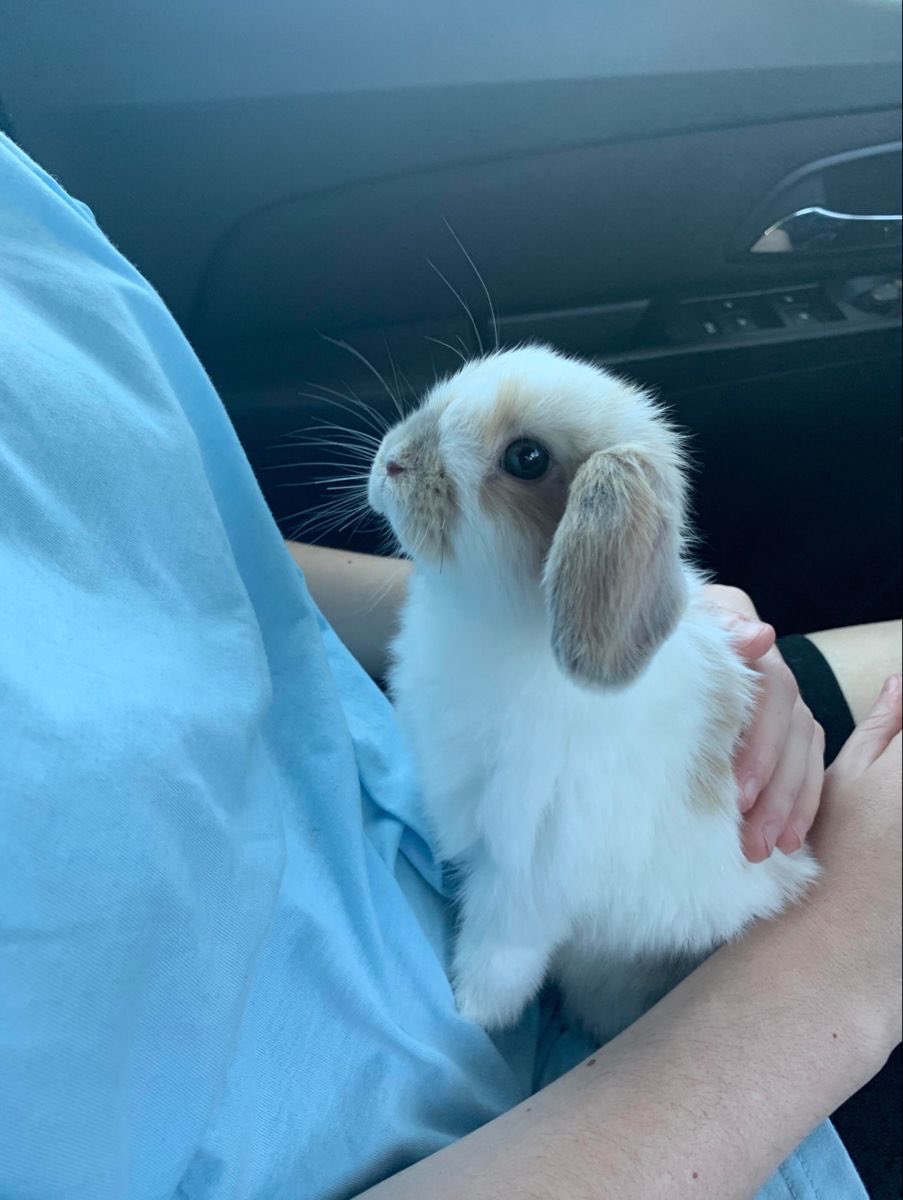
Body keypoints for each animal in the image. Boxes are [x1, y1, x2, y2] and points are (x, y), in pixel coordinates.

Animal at [367, 344, 818, 1044]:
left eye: (526, 458)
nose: (391, 461)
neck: (497, 622)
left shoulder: (526, 875)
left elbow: (499, 960)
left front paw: (472, 1017)